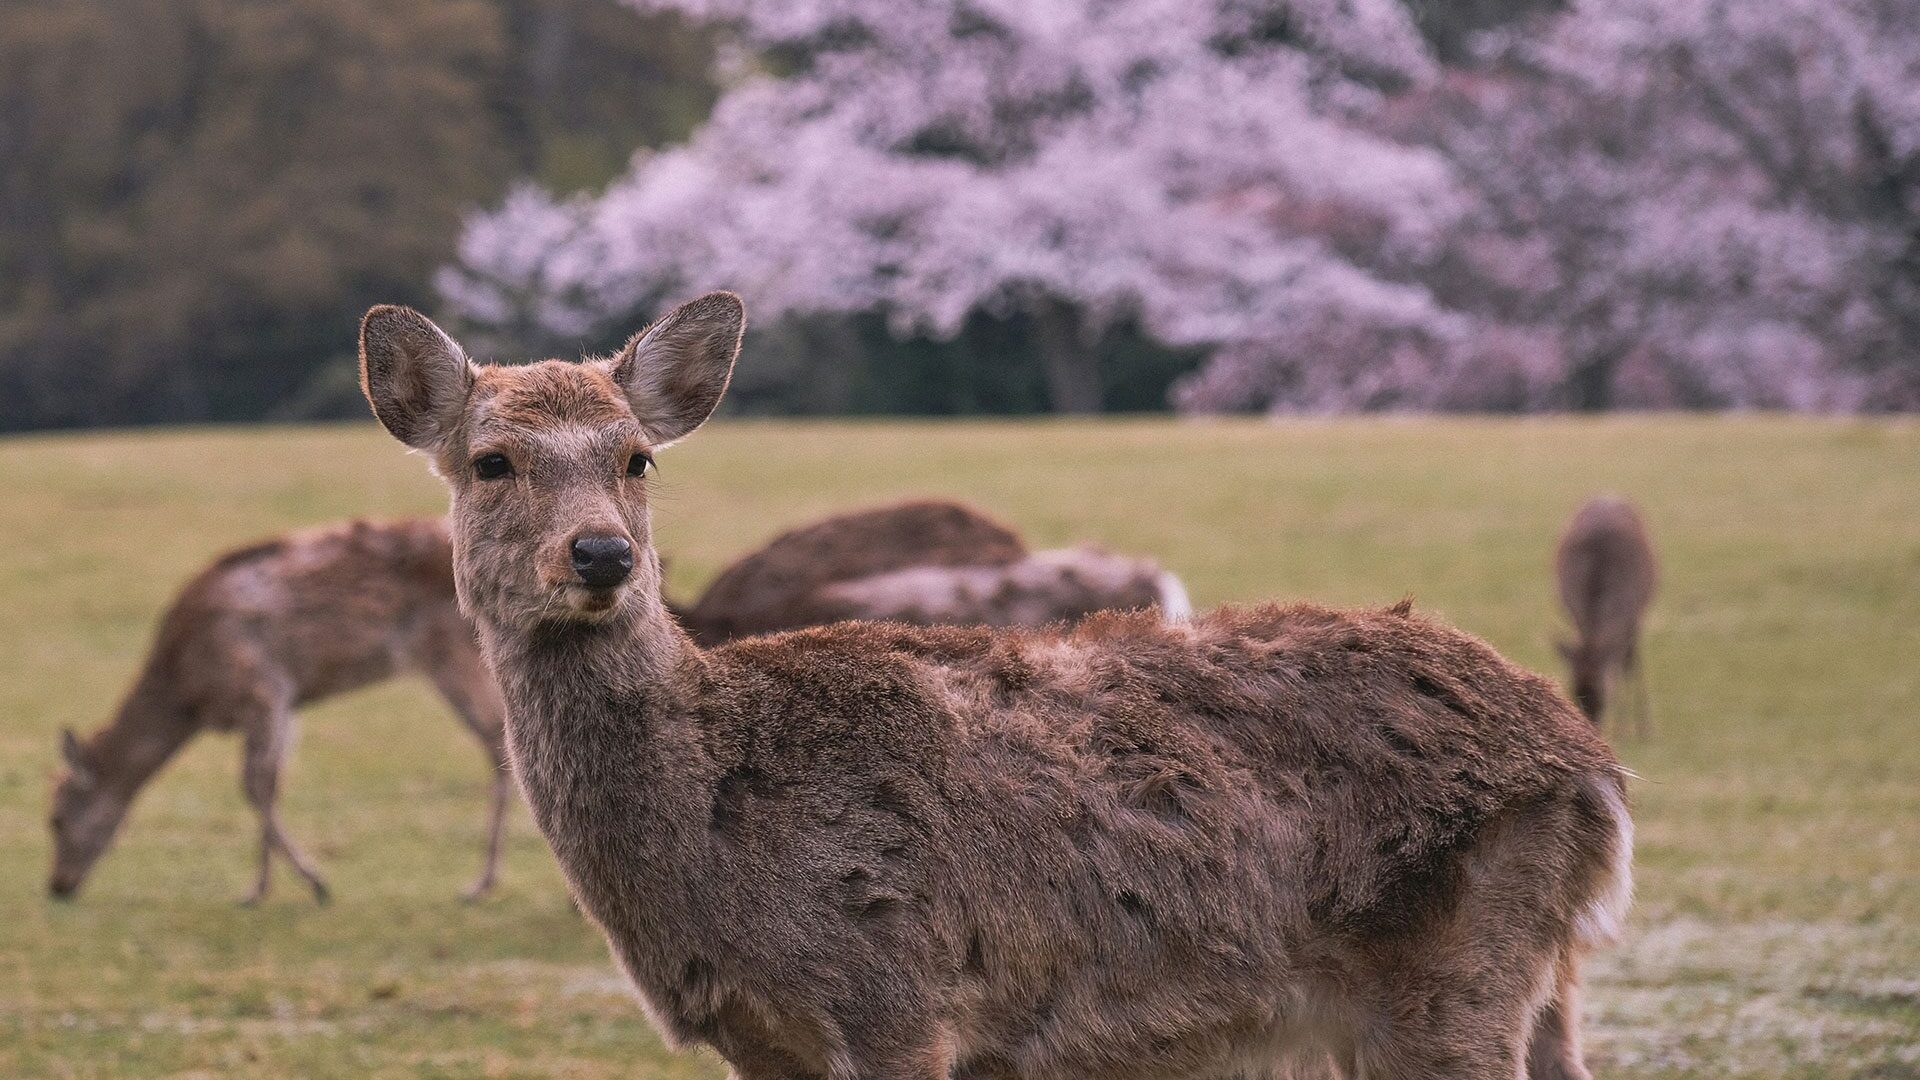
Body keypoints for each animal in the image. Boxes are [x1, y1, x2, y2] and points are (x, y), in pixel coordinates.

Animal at [48, 518, 510, 904]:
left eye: (55, 817)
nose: (56, 886)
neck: (187, 694)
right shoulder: (286, 704)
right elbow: (272, 783)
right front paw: (264, 887)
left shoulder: (261, 688)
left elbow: (254, 785)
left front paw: (303, 884)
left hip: (452, 652)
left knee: (497, 740)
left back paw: (480, 884)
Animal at [1554, 496, 1658, 738]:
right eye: (1573, 693)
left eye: (1603, 693)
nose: (1592, 730)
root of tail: (1608, 495)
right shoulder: (1574, 613)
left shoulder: (1631, 614)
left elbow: (1625, 666)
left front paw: (1631, 727)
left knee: (1631, 659)